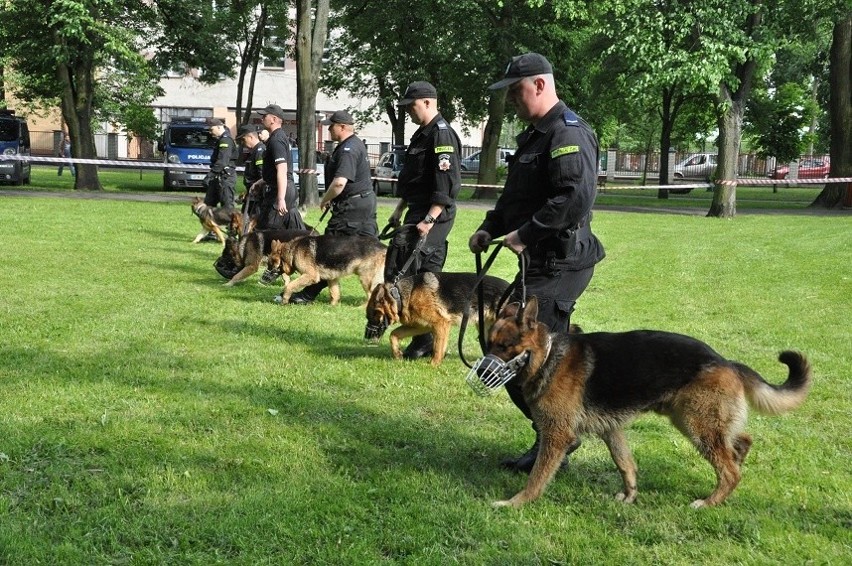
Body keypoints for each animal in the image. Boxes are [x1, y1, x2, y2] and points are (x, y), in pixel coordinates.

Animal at [362, 274, 510, 368]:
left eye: (372, 316)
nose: (366, 337)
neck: (400, 295)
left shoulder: (441, 324)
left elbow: (438, 347)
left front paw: (433, 365)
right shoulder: (421, 326)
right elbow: (394, 334)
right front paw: (397, 355)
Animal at [480, 300, 812, 512]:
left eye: (504, 346)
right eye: (489, 344)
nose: (482, 371)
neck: (547, 356)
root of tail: (725, 361)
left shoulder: (556, 436)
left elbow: (537, 477)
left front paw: (516, 503)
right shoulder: (611, 430)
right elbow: (625, 463)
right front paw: (630, 496)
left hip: (696, 425)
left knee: (730, 470)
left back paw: (710, 502)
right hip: (695, 420)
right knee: (740, 442)